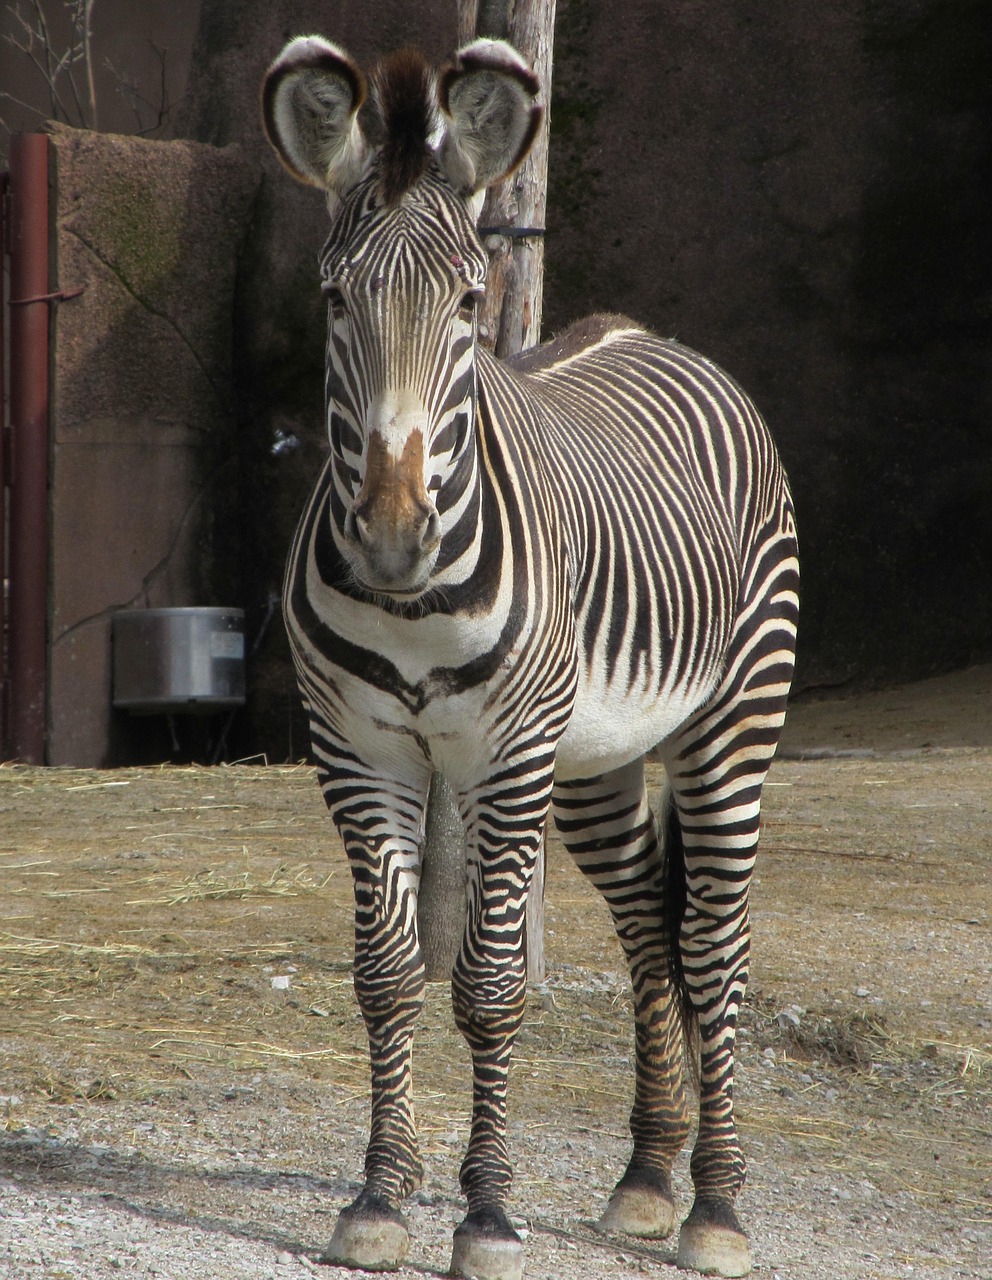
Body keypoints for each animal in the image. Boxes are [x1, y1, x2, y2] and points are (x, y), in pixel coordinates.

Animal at [262, 27, 798, 1280]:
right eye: (333, 299)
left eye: (467, 300)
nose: (392, 532)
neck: (412, 600)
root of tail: (650, 335)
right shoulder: (357, 751)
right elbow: (386, 974)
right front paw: (380, 1196)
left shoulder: (504, 759)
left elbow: (494, 985)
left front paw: (487, 1213)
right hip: (598, 756)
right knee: (650, 921)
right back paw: (647, 1177)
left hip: (730, 719)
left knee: (715, 940)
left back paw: (715, 1207)